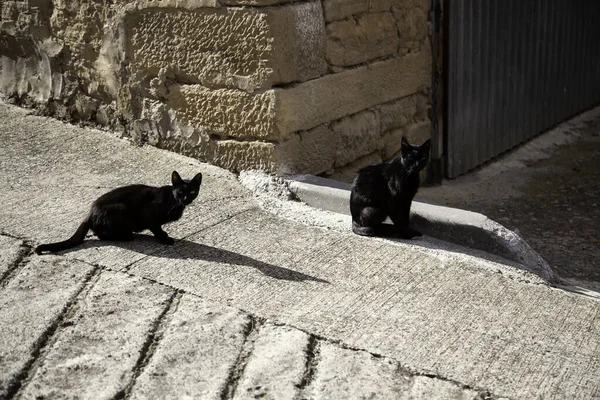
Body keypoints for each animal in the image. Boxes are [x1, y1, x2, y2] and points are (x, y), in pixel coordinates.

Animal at [36, 171, 203, 253]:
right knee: (102, 235)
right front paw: (165, 239)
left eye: (192, 191)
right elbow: (156, 228)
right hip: (121, 210)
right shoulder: (149, 215)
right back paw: (127, 236)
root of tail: (89, 213)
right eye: (181, 191)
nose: (186, 199)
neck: (173, 201)